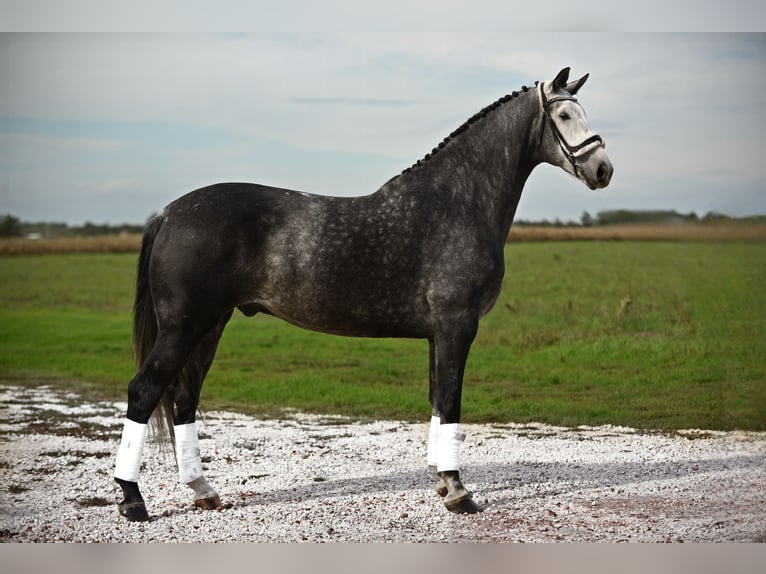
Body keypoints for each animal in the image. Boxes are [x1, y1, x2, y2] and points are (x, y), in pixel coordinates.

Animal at [114, 67, 616, 520]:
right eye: (565, 115)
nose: (603, 169)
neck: (456, 203)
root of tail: (170, 212)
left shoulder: (438, 334)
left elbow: (438, 402)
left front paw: (441, 482)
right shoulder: (457, 325)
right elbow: (452, 402)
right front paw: (458, 494)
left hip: (210, 325)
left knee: (184, 399)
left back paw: (203, 491)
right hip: (184, 327)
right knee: (144, 392)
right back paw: (133, 501)